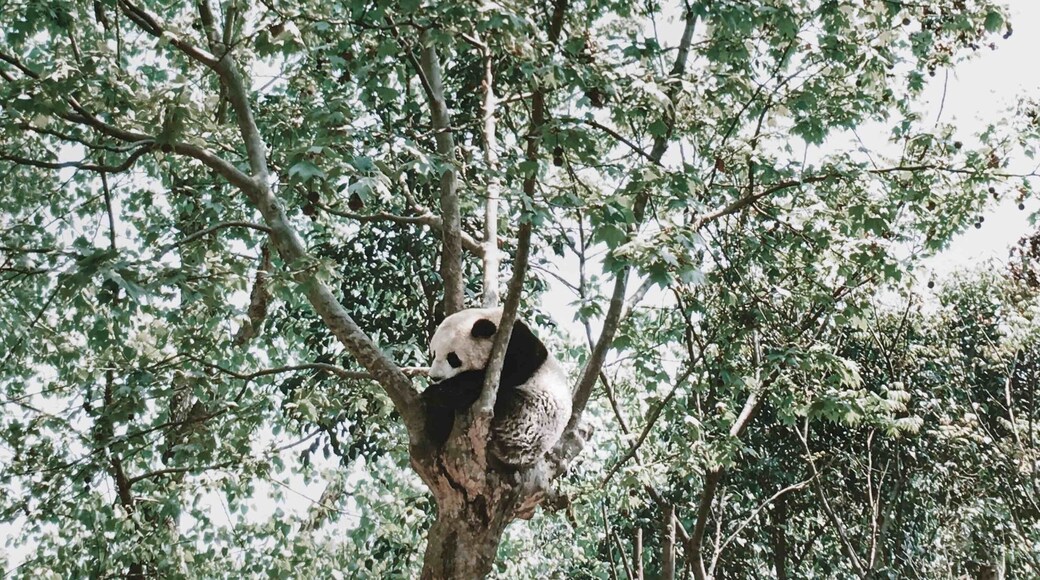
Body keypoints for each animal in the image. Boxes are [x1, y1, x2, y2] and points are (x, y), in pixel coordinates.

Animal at [421, 307, 572, 468]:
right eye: (434, 353)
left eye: (452, 358)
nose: (435, 377)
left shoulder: (518, 345)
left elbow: (500, 375)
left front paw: (437, 392)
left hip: (531, 418)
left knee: (505, 401)